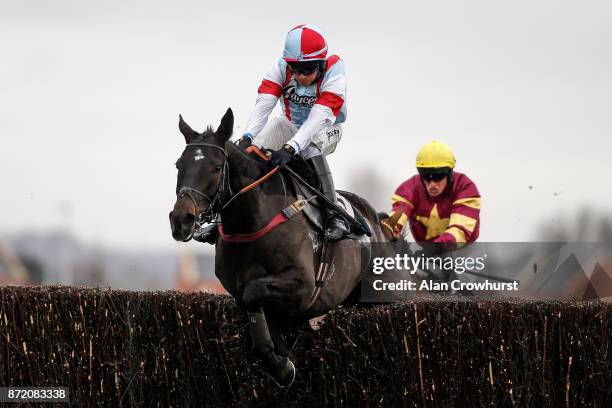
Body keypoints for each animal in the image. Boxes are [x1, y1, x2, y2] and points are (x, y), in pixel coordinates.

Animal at [169, 109, 396, 386]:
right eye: (179, 165)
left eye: (216, 167)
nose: (181, 220)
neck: (251, 223)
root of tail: (380, 224)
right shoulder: (239, 292)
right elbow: (259, 317)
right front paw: (284, 362)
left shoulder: (304, 285)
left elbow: (254, 291)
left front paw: (282, 365)